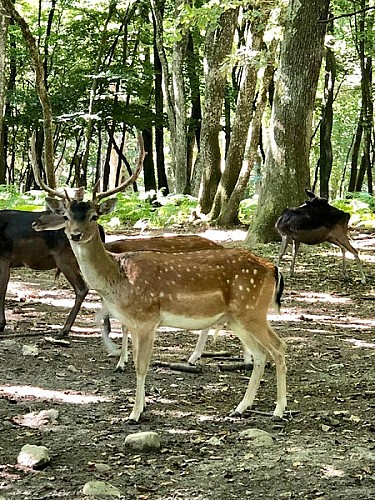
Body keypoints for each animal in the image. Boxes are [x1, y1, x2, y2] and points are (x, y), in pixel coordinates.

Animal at [32, 134, 286, 422]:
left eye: (94, 216)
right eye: (66, 216)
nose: (75, 234)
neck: (118, 279)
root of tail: (271, 268)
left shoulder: (147, 319)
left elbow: (142, 366)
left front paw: (135, 413)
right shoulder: (132, 321)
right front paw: (135, 395)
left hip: (251, 311)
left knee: (278, 348)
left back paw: (278, 410)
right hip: (237, 318)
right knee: (261, 353)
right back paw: (241, 407)